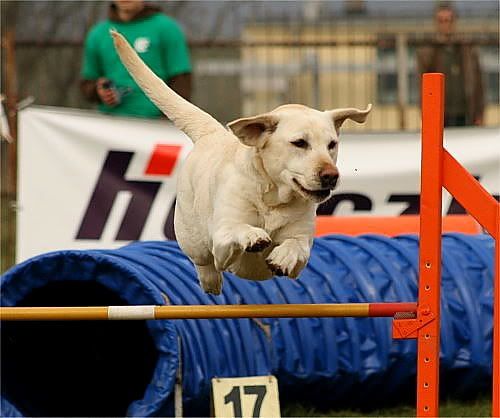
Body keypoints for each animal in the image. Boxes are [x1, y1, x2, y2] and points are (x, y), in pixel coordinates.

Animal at [111, 30, 371, 295]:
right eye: (299, 143)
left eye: (332, 144)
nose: (331, 175)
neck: (274, 197)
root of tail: (213, 132)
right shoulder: (221, 238)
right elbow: (237, 230)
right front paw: (253, 236)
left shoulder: (302, 244)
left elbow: (296, 245)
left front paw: (282, 257)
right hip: (192, 237)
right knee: (203, 263)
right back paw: (211, 282)